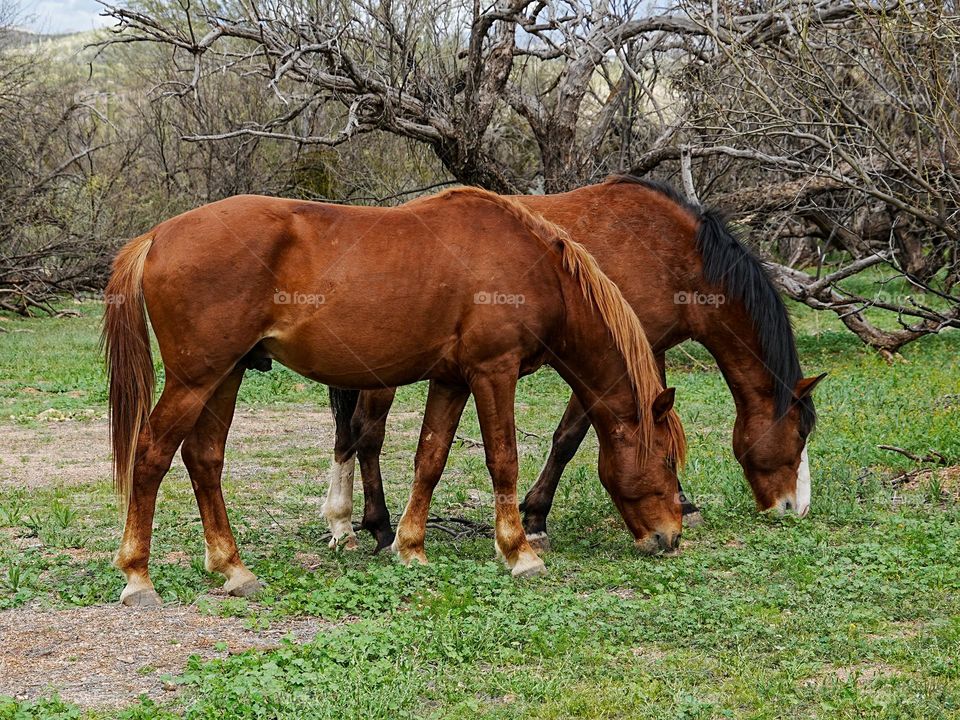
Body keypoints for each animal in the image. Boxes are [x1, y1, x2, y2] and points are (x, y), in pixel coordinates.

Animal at [102, 186, 687, 607]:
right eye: (665, 460)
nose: (670, 537)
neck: (534, 266)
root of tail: (157, 236)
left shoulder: (452, 380)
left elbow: (430, 458)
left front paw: (409, 547)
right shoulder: (493, 373)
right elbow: (503, 459)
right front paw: (519, 552)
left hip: (224, 376)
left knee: (204, 459)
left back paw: (233, 568)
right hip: (195, 380)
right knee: (151, 455)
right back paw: (138, 575)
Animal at [321, 177, 825, 552]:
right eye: (799, 433)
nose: (795, 508)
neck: (671, 251)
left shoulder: (646, 352)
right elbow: (570, 438)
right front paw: (536, 517)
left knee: (352, 435)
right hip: (382, 376)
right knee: (367, 436)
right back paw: (380, 526)